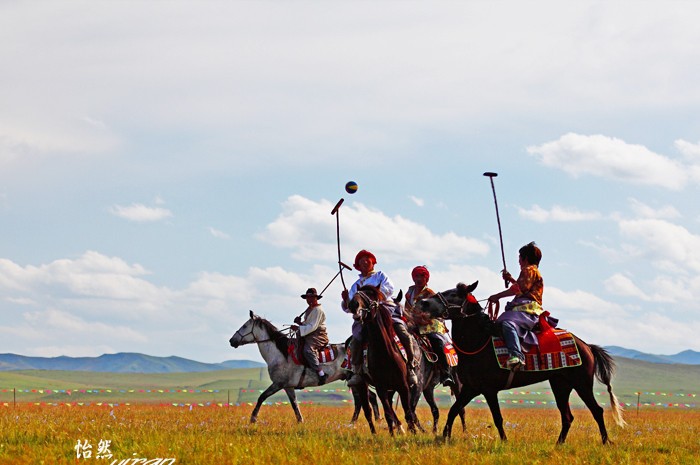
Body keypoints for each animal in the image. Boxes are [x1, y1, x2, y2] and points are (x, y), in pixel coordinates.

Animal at [418, 280, 628, 444]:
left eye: (452, 294)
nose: (424, 303)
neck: (478, 341)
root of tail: (586, 346)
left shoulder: (488, 390)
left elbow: (497, 418)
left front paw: (504, 442)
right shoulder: (471, 388)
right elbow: (454, 410)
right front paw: (444, 437)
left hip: (582, 383)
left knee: (597, 410)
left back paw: (606, 442)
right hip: (561, 385)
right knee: (567, 416)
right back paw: (558, 444)